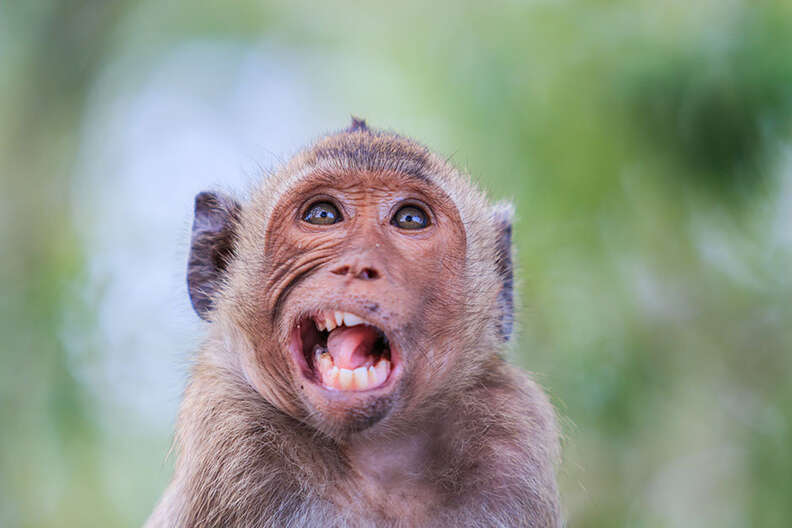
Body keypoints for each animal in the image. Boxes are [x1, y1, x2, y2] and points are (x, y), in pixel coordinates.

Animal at [145, 119, 560, 528]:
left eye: (411, 219)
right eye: (322, 214)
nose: (359, 266)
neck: (375, 462)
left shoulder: (510, 443)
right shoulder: (235, 446)